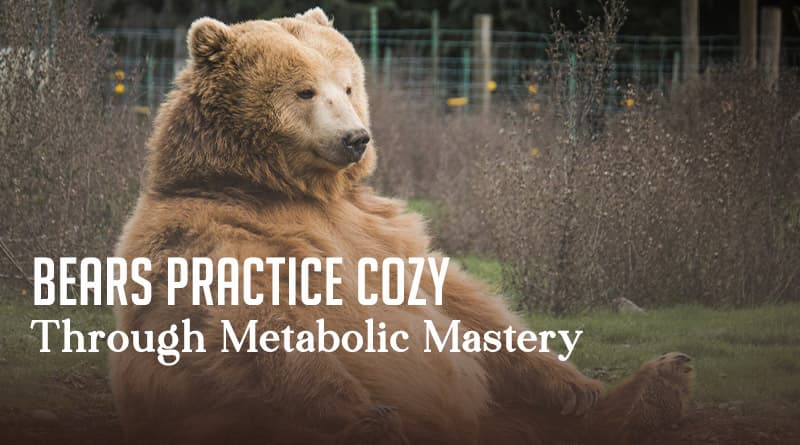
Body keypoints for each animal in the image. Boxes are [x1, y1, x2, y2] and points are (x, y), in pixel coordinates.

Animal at [110, 8, 693, 444]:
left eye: (347, 85)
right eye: (304, 91)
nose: (355, 138)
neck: (291, 188)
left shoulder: (377, 228)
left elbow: (462, 302)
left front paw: (575, 385)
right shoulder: (212, 232)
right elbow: (249, 323)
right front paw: (365, 416)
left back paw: (659, 380)